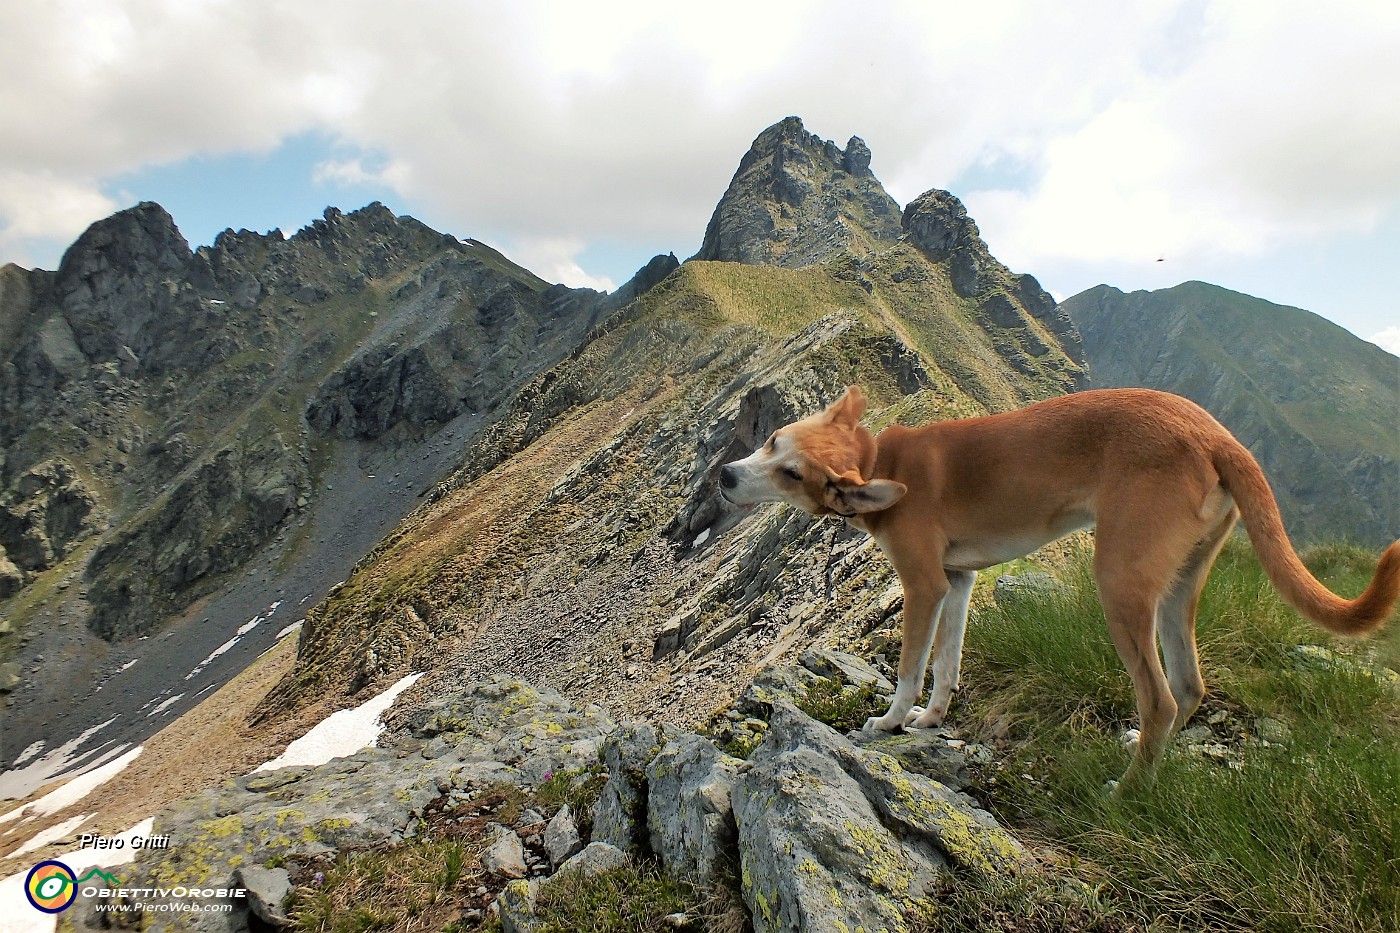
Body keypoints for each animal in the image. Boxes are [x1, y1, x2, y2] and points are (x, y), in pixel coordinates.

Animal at [722, 383, 1400, 784]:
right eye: (771, 440)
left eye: (790, 471)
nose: (725, 476)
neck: (880, 464)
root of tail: (1217, 435)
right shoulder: (958, 581)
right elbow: (946, 664)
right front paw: (931, 719)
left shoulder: (924, 585)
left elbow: (912, 666)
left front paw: (887, 723)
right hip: (1177, 587)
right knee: (1188, 688)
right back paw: (1143, 754)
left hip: (1120, 583)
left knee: (1160, 698)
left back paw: (1125, 793)